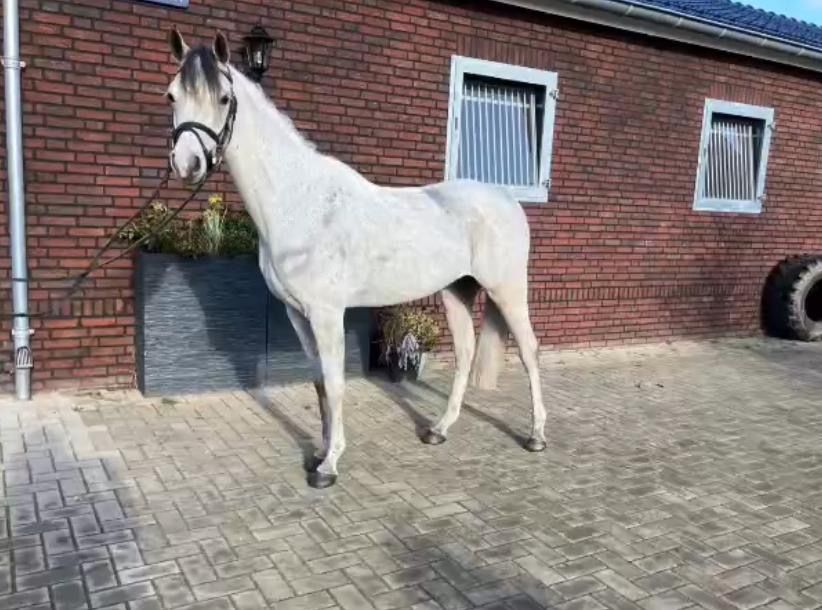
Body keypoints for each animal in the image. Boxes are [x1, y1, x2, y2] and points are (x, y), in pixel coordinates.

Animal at [164, 29, 547, 488]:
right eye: (171, 96)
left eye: (223, 98)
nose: (188, 164)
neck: (300, 201)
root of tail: (506, 199)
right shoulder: (298, 315)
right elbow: (318, 385)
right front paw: (317, 453)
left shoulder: (328, 314)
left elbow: (335, 383)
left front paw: (329, 466)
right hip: (457, 290)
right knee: (465, 353)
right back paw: (438, 430)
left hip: (507, 289)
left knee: (529, 350)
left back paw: (536, 436)